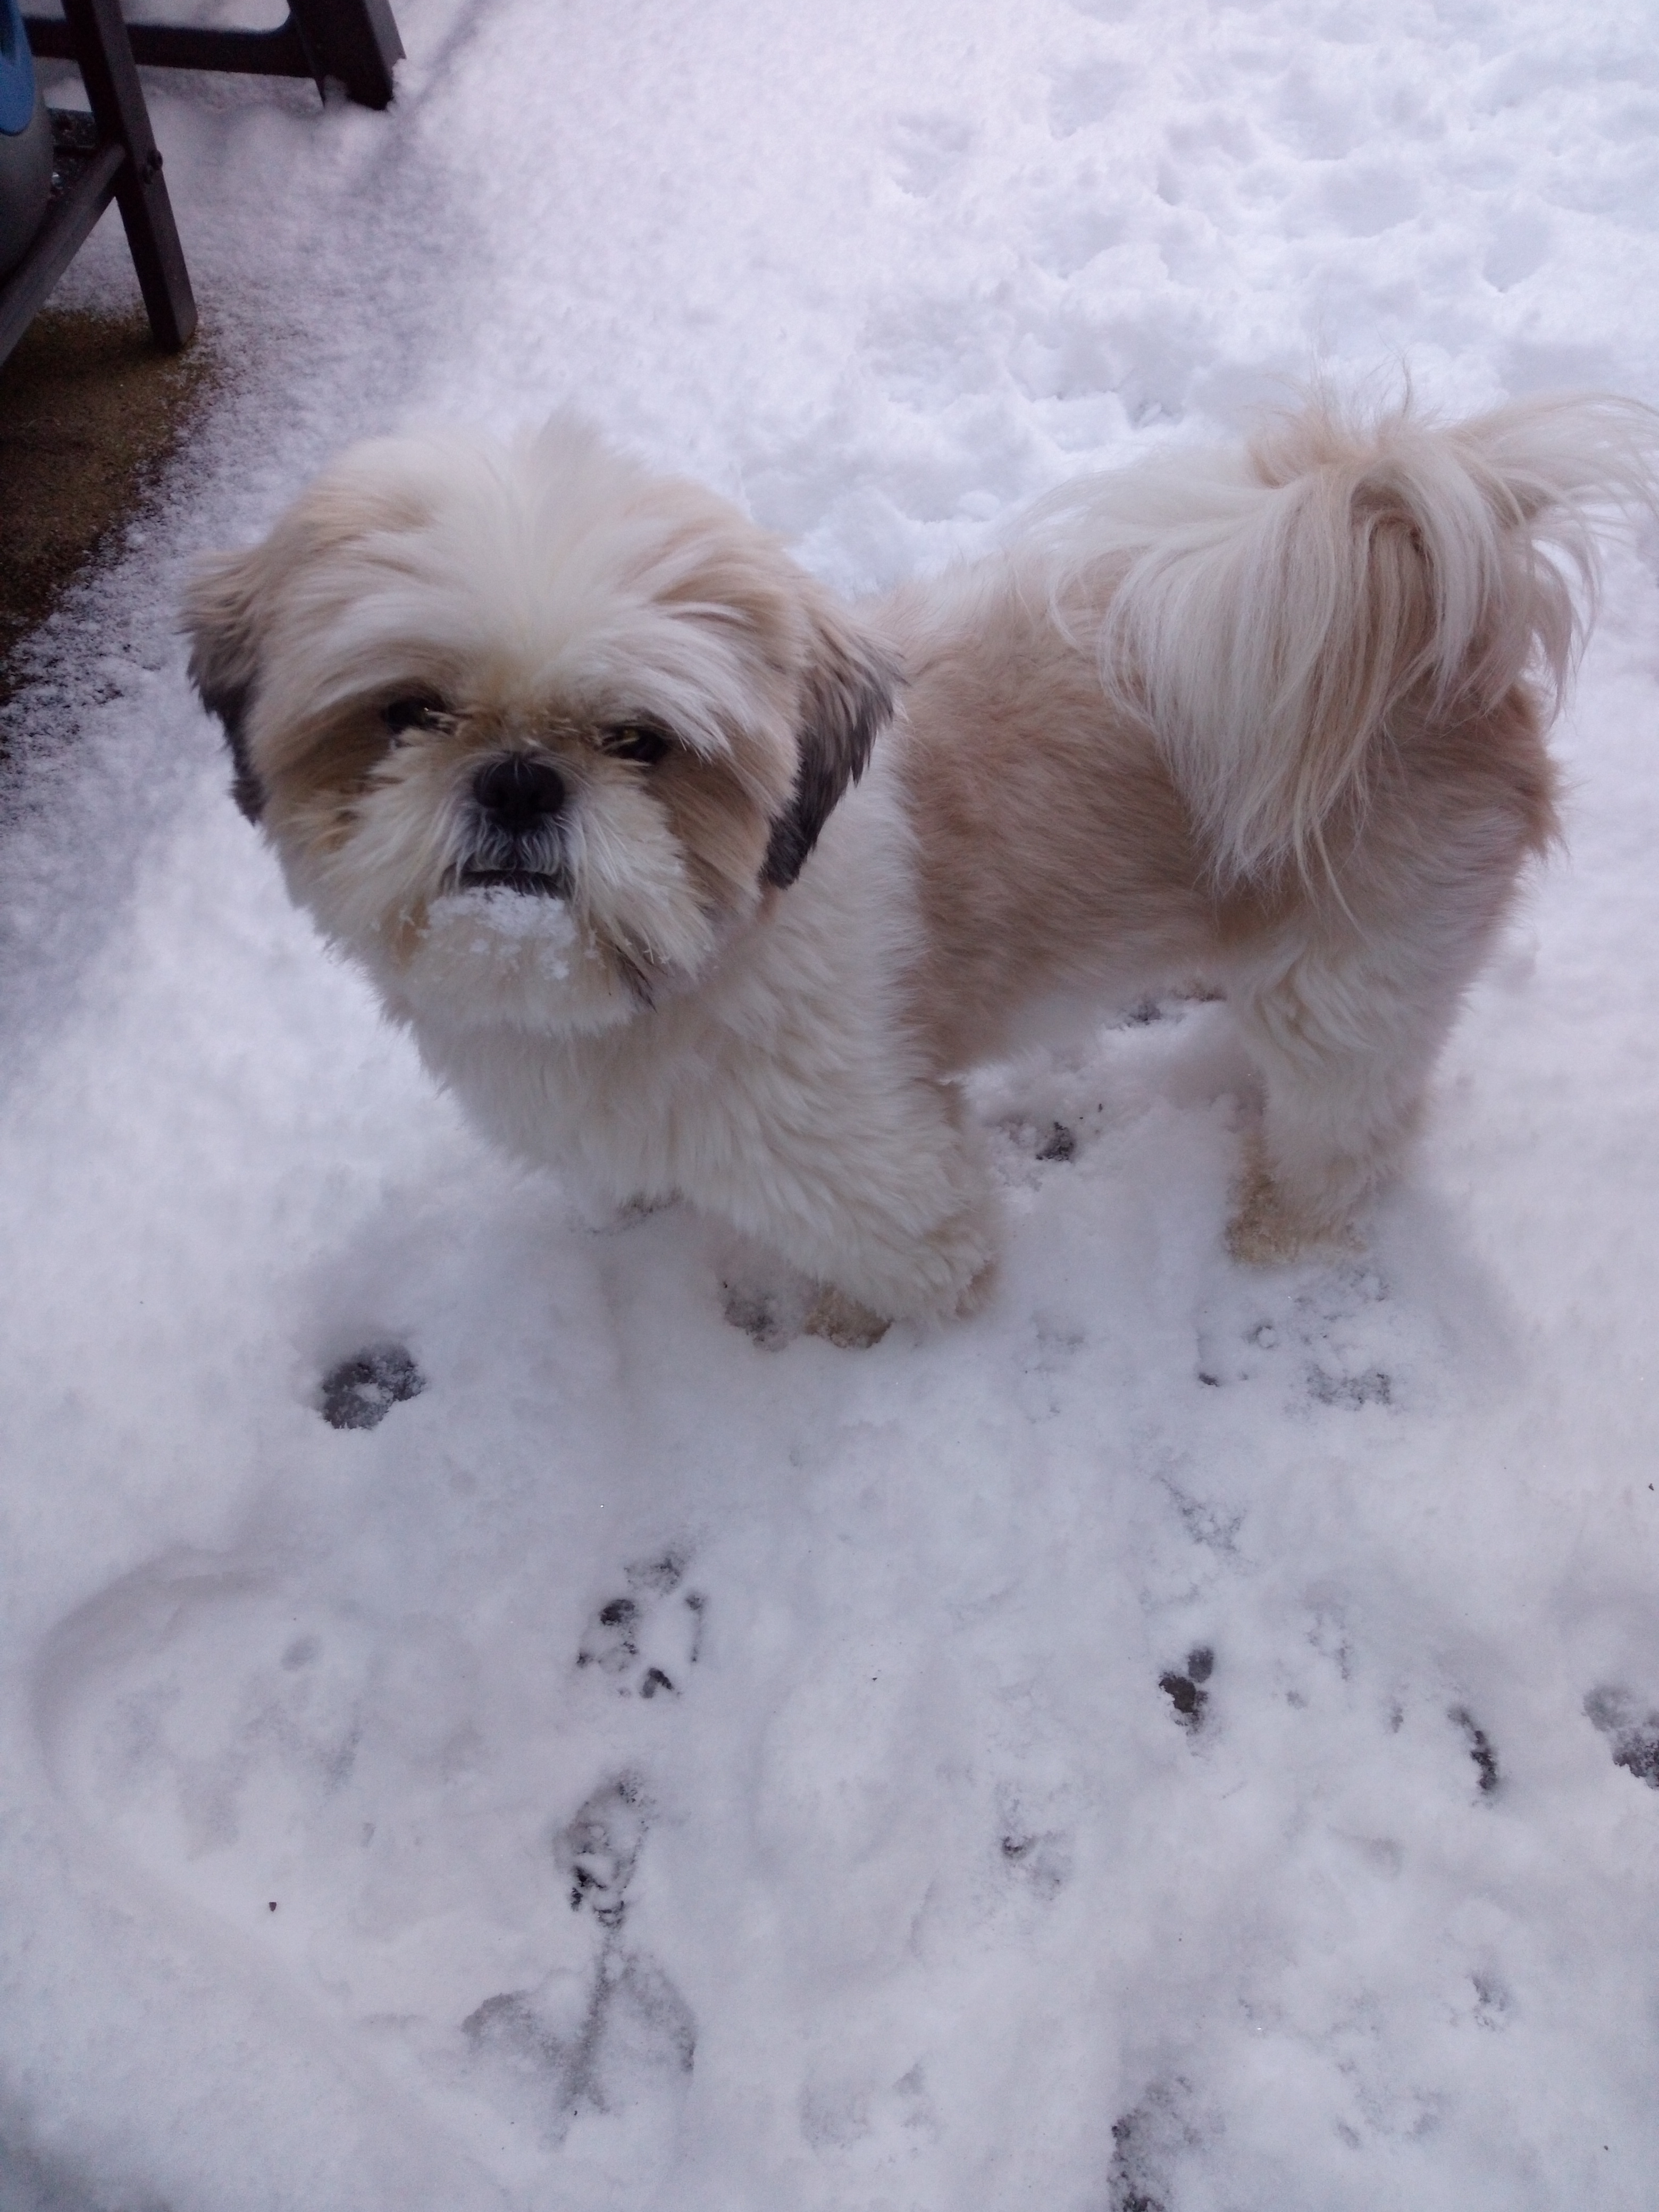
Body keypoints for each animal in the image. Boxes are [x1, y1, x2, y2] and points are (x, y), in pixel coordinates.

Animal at [182, 394, 1653, 1342]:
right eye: (408, 712)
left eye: (639, 741)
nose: (520, 779)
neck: (683, 956)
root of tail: (1428, 602)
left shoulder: (869, 1161)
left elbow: (913, 1265)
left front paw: (841, 1323)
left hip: (1357, 970)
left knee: (1351, 1119)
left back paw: (1283, 1225)